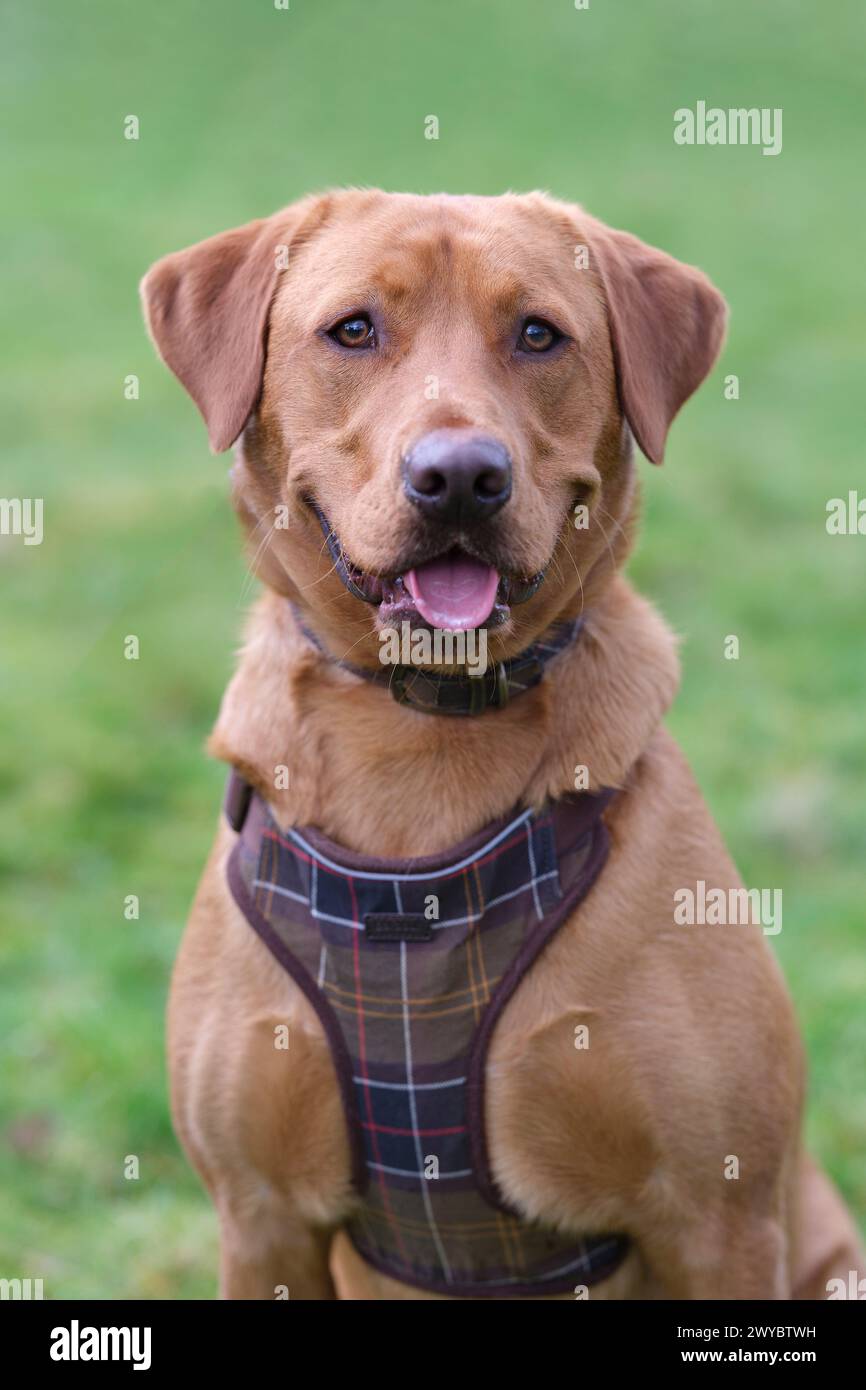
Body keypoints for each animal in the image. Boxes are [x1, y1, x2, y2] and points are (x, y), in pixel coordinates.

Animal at [142, 190, 866, 1295]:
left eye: (537, 335)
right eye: (353, 329)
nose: (458, 477)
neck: (422, 734)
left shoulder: (720, 1220)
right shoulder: (260, 1216)